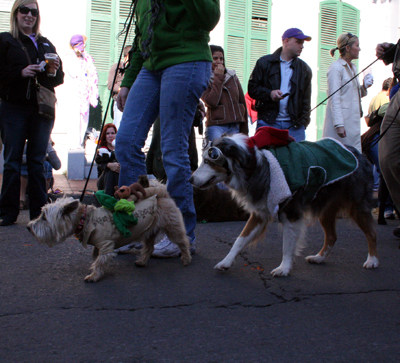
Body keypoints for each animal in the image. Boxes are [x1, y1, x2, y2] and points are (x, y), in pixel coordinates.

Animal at [27, 182, 191, 284]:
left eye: (44, 217)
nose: (29, 227)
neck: (85, 219)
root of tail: (162, 195)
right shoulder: (98, 246)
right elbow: (96, 257)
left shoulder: (106, 245)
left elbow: (100, 261)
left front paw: (94, 275)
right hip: (150, 231)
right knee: (149, 247)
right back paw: (142, 261)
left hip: (173, 228)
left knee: (183, 242)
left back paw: (186, 258)